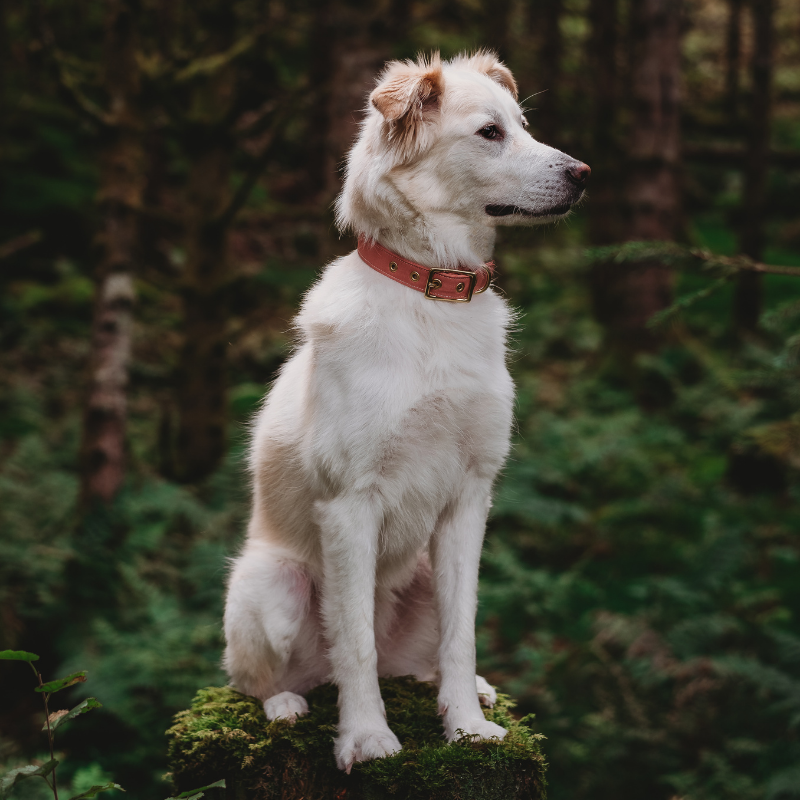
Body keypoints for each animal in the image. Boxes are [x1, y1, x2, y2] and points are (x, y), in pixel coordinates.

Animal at [223, 51, 588, 776]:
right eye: (489, 133)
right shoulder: (349, 503)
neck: (433, 299)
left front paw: (467, 727)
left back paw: (465, 691)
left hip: (417, 575)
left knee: (413, 662)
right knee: (261, 678)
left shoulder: (471, 496)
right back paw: (286, 705)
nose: (584, 174)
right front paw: (366, 739)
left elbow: (461, 633)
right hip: (273, 585)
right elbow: (355, 641)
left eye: (523, 126)